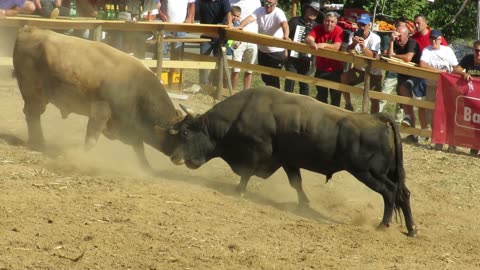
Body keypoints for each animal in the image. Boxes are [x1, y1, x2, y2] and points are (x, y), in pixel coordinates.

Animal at [169, 86, 416, 236]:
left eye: (185, 133)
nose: (173, 157)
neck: (241, 113)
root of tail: (377, 118)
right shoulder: (288, 160)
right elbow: (296, 182)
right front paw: (303, 203)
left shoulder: (256, 152)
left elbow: (247, 173)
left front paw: (238, 191)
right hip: (386, 173)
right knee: (403, 194)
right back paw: (411, 228)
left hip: (368, 173)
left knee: (390, 193)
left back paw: (383, 224)